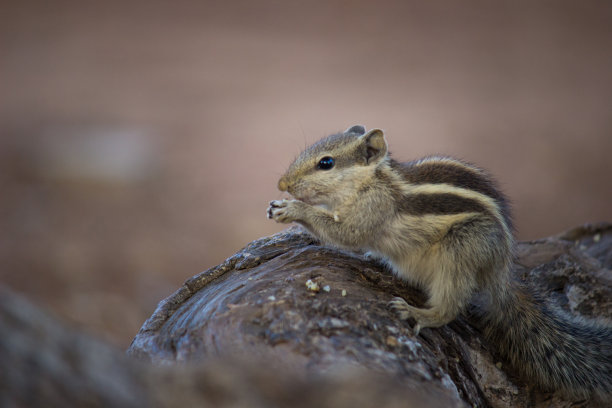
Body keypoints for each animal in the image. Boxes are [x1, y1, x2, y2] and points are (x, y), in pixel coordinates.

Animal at [266, 124, 612, 398]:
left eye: (326, 163)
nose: (282, 183)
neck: (371, 182)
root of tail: (500, 272)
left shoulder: (372, 210)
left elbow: (345, 233)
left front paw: (293, 209)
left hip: (460, 249)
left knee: (451, 304)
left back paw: (419, 313)